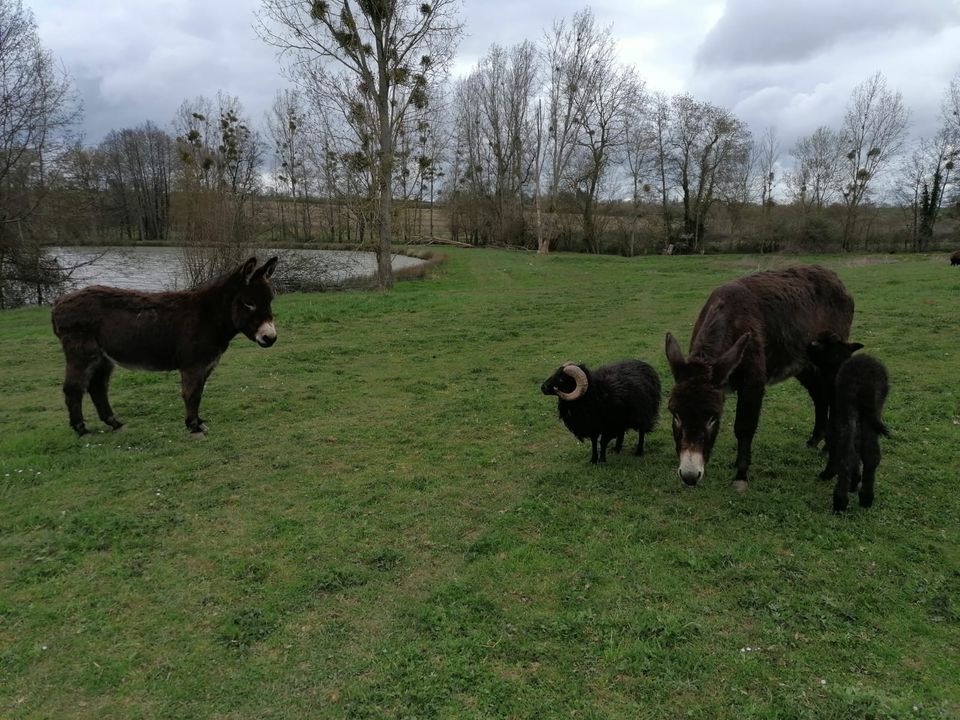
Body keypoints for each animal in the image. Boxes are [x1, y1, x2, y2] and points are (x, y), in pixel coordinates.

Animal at [808, 332, 888, 512]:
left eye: (820, 344)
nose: (808, 347)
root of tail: (866, 381)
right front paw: (855, 481)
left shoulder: (838, 412)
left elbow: (835, 441)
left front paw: (831, 474)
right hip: (872, 414)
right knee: (872, 453)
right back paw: (866, 498)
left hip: (849, 409)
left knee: (846, 451)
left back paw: (839, 501)